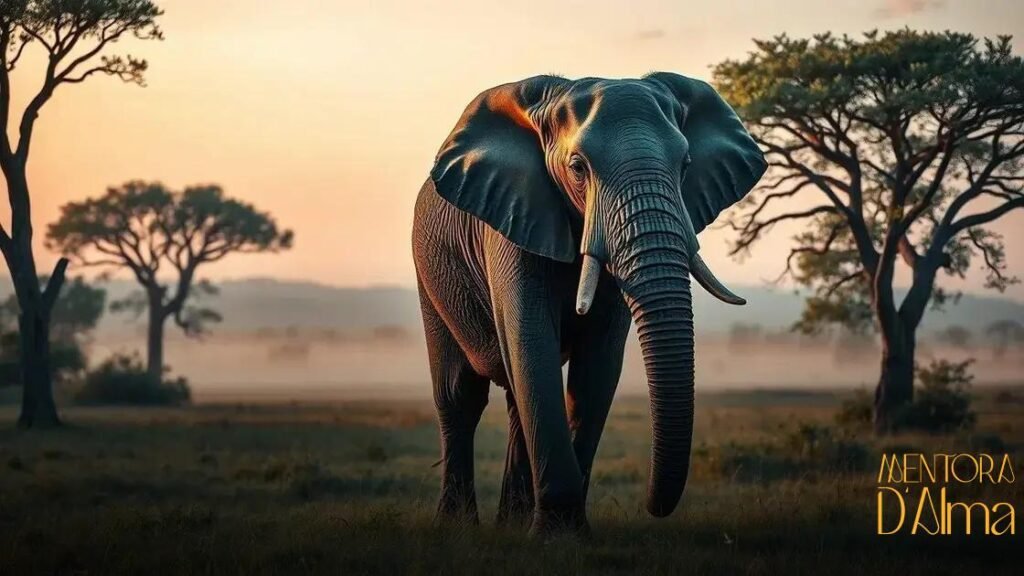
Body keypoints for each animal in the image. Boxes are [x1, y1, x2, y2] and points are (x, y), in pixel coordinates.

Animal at [412, 73, 765, 534]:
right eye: (578, 168)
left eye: (686, 166)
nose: (651, 506)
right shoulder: (512, 221)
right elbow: (532, 346)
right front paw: (556, 534)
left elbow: (596, 367)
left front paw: (568, 529)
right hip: (429, 275)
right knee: (460, 396)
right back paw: (458, 526)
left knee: (515, 400)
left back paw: (511, 524)